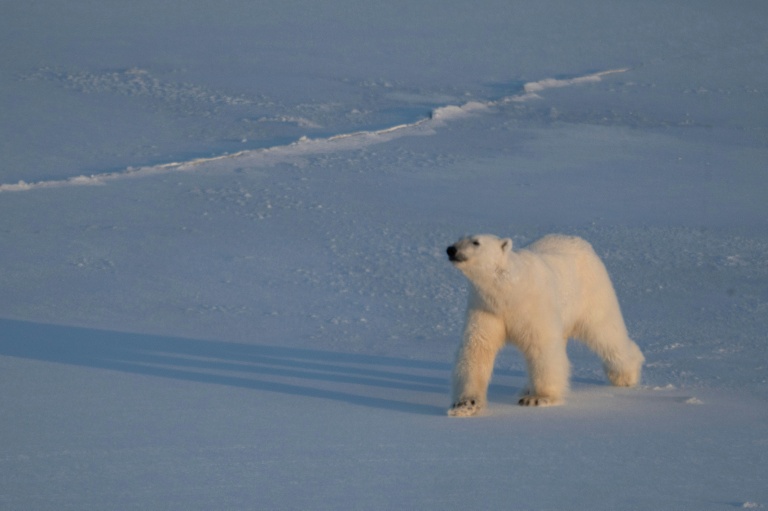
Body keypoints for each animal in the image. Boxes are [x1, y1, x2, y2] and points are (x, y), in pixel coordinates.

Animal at [445, 234, 644, 417]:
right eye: (459, 238)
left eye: (476, 242)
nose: (451, 249)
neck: (508, 293)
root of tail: (578, 240)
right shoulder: (486, 309)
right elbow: (477, 348)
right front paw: (465, 404)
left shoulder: (534, 305)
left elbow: (542, 347)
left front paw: (537, 398)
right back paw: (526, 387)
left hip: (592, 290)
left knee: (606, 331)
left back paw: (626, 376)